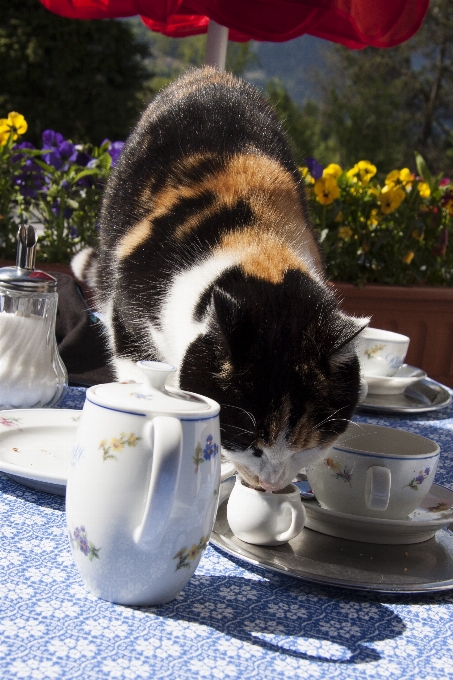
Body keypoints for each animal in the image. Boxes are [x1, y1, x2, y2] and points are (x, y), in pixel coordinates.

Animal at [71, 66, 368, 492]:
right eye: (249, 440)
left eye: (306, 446)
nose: (271, 482)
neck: (258, 243)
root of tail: (208, 72)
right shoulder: (131, 306)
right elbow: (132, 357)